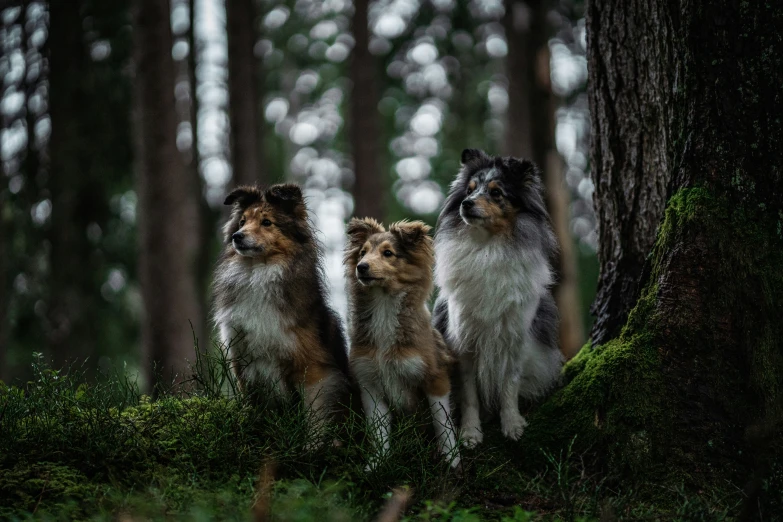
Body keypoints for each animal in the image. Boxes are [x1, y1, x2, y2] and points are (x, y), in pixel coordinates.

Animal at [214, 183, 350, 438]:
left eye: (267, 222)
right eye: (242, 222)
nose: (237, 236)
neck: (258, 272)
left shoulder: (313, 369)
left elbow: (314, 416)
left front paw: (312, 444)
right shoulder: (242, 361)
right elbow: (250, 403)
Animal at [344, 217, 460, 470]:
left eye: (388, 253)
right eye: (362, 253)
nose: (362, 267)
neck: (384, 307)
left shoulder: (435, 378)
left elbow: (442, 422)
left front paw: (452, 460)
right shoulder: (370, 383)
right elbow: (378, 430)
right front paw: (377, 464)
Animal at [434, 149, 564, 446]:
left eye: (496, 192)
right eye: (469, 190)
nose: (466, 204)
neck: (488, 247)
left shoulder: (515, 337)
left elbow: (509, 385)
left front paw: (513, 424)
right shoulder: (464, 342)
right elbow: (469, 395)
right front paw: (470, 433)